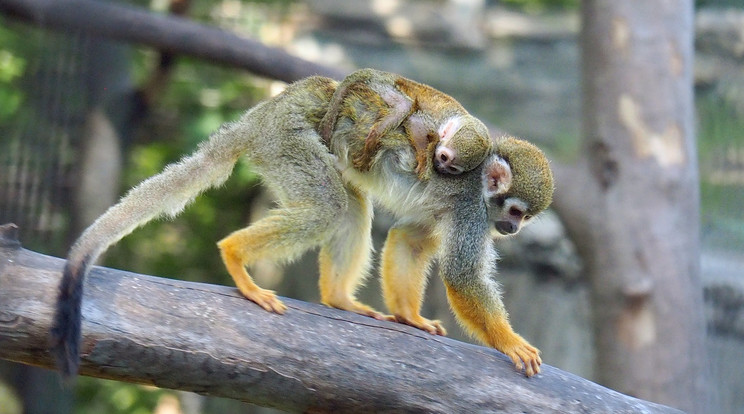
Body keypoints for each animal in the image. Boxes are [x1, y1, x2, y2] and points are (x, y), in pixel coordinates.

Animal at [316, 68, 492, 180]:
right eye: (443, 157)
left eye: (452, 169)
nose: (441, 168)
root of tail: (380, 73)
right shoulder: (434, 123)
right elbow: (415, 121)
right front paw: (424, 159)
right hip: (381, 86)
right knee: (405, 106)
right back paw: (372, 141)